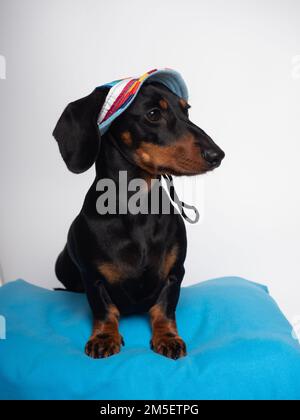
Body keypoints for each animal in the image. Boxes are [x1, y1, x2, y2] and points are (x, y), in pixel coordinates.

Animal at [52, 79, 224, 360]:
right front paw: (104, 337)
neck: (136, 208)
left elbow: (164, 309)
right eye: (153, 114)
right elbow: (105, 310)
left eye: (186, 110)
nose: (217, 155)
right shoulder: (93, 278)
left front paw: (168, 338)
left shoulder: (175, 273)